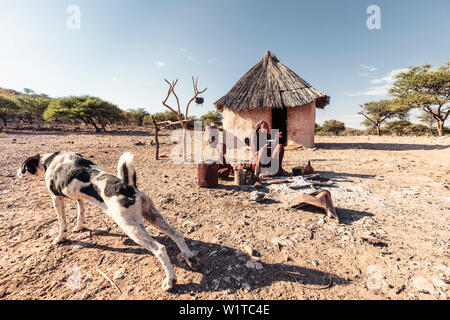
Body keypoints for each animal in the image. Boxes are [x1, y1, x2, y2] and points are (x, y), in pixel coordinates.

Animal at [16, 151, 199, 292]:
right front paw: (79, 227)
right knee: (177, 234)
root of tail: (127, 186)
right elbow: (80, 214)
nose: (16, 173)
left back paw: (170, 280)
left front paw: (60, 238)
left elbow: (62, 224)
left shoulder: (56, 198)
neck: (49, 161)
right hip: (153, 216)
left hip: (131, 227)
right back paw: (190, 258)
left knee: (159, 248)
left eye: (23, 166)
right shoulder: (80, 198)